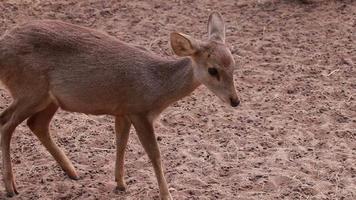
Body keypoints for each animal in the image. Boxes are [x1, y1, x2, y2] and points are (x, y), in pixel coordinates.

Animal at [0, 12, 239, 200]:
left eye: (234, 64)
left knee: (35, 124)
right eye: (212, 70)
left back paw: (73, 172)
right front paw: (166, 195)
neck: (156, 86)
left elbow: (121, 143)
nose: (235, 101)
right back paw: (11, 188)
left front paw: (120, 184)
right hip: (30, 90)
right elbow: (154, 154)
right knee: (7, 124)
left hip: (49, 99)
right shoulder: (139, 111)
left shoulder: (122, 111)